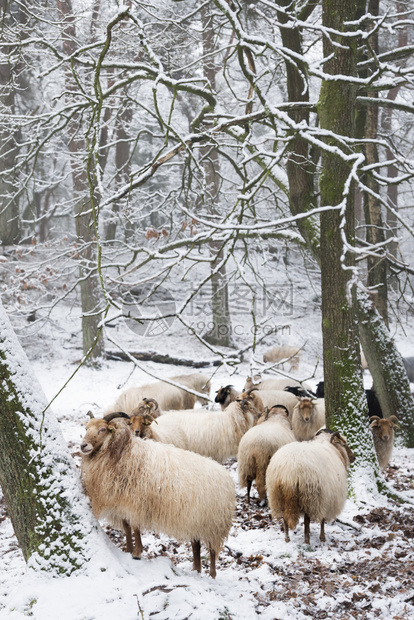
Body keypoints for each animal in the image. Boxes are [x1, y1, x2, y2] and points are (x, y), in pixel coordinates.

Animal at [80, 416, 236, 576]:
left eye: (103, 429)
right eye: (86, 428)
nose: (83, 445)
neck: (123, 453)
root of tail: (227, 479)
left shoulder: (135, 501)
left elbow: (135, 527)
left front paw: (137, 553)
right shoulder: (122, 502)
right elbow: (127, 527)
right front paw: (128, 549)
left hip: (213, 524)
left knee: (212, 550)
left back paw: (211, 574)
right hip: (196, 520)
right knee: (196, 546)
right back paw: (196, 570)